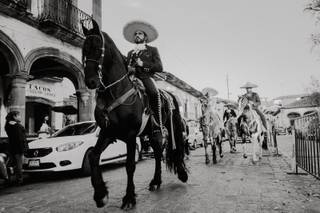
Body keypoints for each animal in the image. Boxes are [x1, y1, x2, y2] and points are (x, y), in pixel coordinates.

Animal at [81, 20, 189, 210]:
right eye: (83, 48)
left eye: (98, 47)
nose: (91, 81)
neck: (114, 92)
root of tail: (169, 94)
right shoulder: (108, 133)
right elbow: (93, 156)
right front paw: (100, 195)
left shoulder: (130, 136)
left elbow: (130, 165)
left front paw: (129, 198)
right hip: (152, 133)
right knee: (158, 152)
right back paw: (156, 181)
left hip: (172, 127)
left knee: (177, 148)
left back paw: (181, 174)